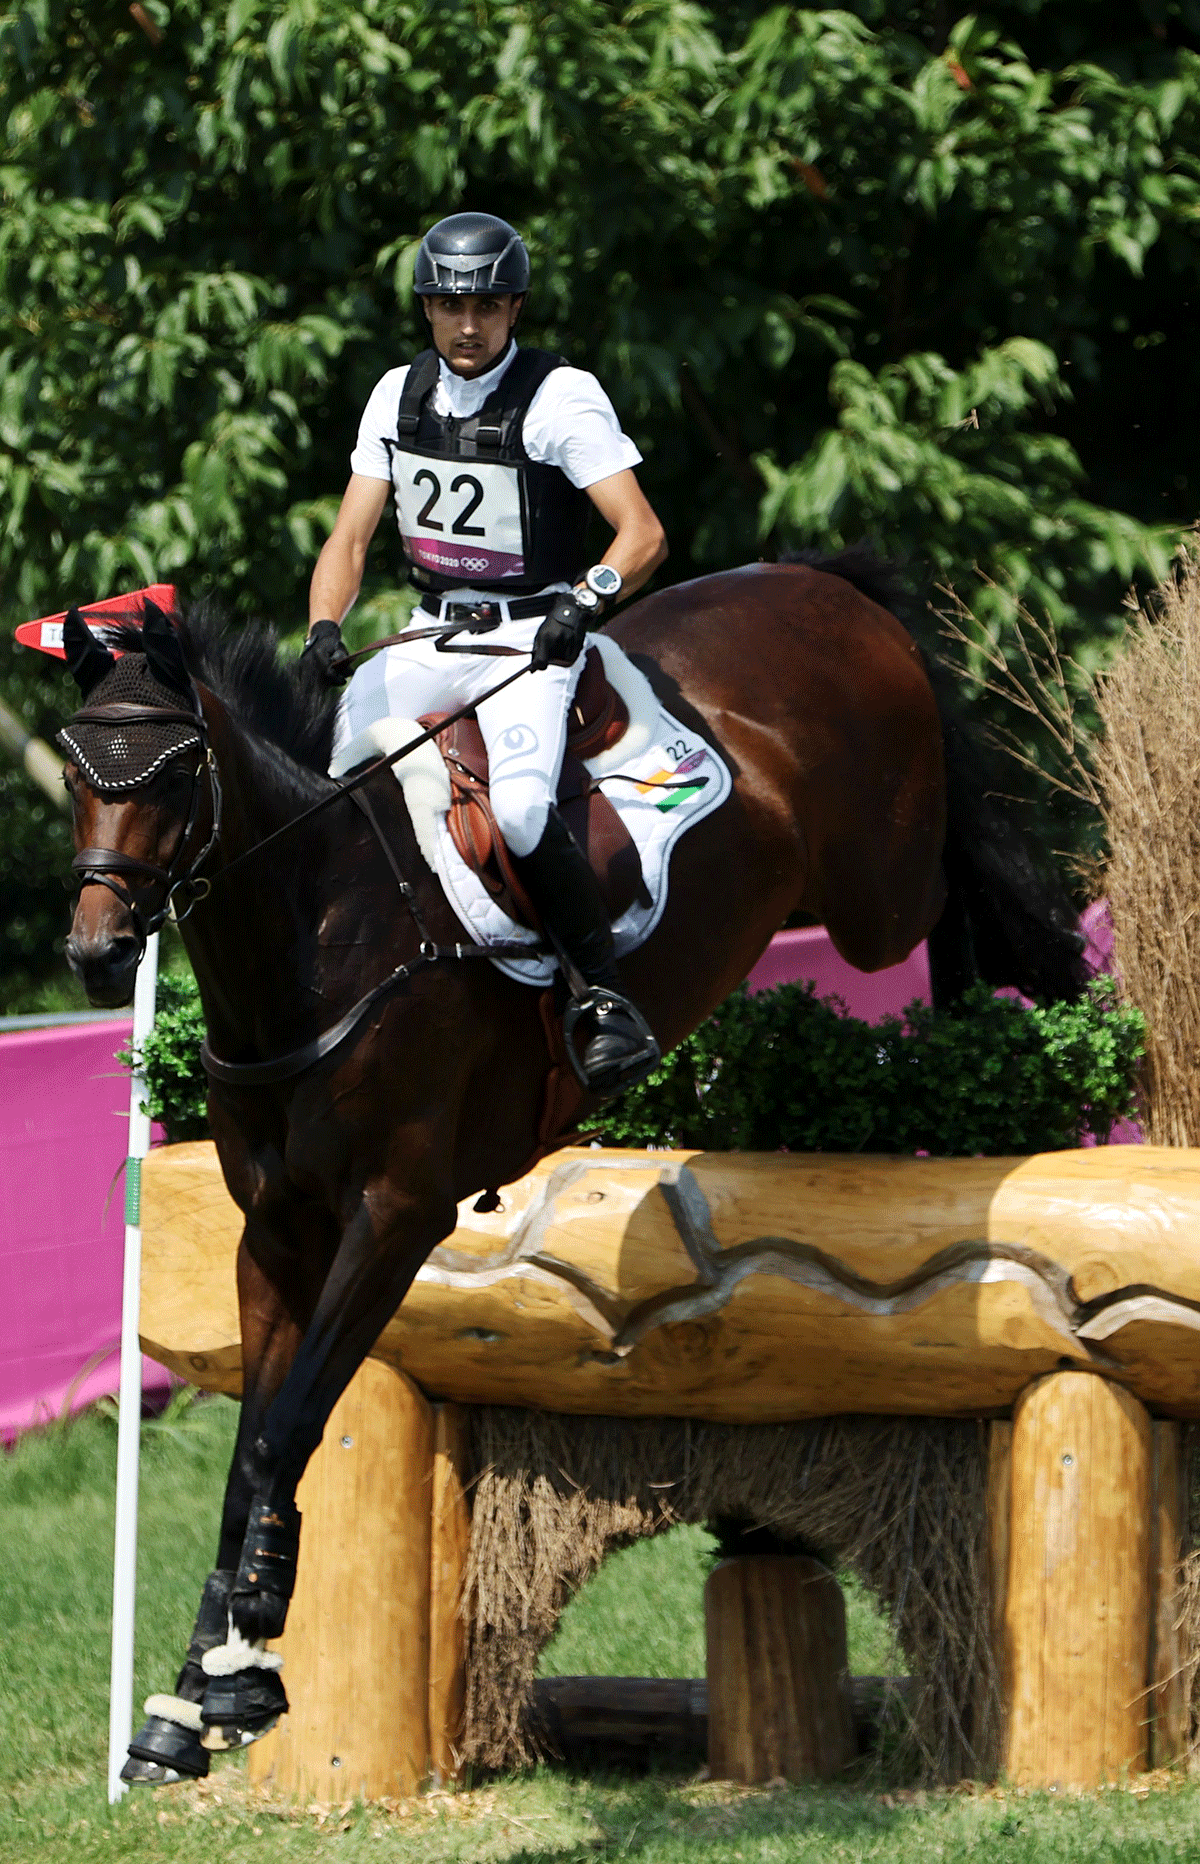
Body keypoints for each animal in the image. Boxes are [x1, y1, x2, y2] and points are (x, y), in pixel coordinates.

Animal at [58, 544, 1088, 1781]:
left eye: (174, 772)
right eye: (74, 769)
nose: (98, 949)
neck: (322, 934)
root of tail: (813, 578)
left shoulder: (394, 1219)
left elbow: (289, 1427)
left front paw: (248, 1656)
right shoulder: (277, 1234)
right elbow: (254, 1442)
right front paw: (192, 1693)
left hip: (873, 882)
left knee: (956, 890)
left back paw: (1001, 1024)